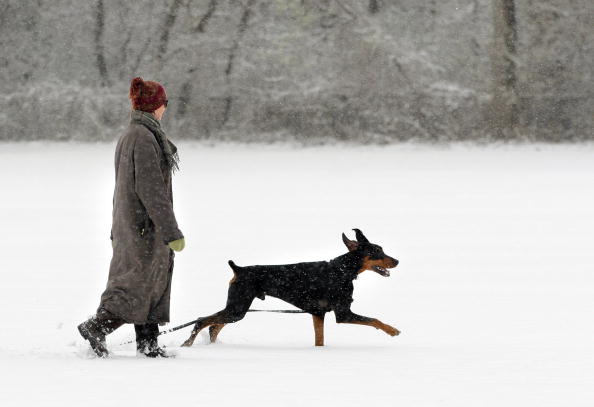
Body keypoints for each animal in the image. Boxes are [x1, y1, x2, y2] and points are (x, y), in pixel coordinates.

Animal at [180, 230, 398, 348]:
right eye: (377, 251)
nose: (397, 261)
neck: (341, 271)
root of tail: (238, 269)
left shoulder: (318, 313)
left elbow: (320, 339)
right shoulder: (343, 313)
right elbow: (374, 320)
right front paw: (393, 330)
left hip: (236, 308)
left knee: (214, 325)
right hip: (238, 308)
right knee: (202, 321)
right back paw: (188, 344)